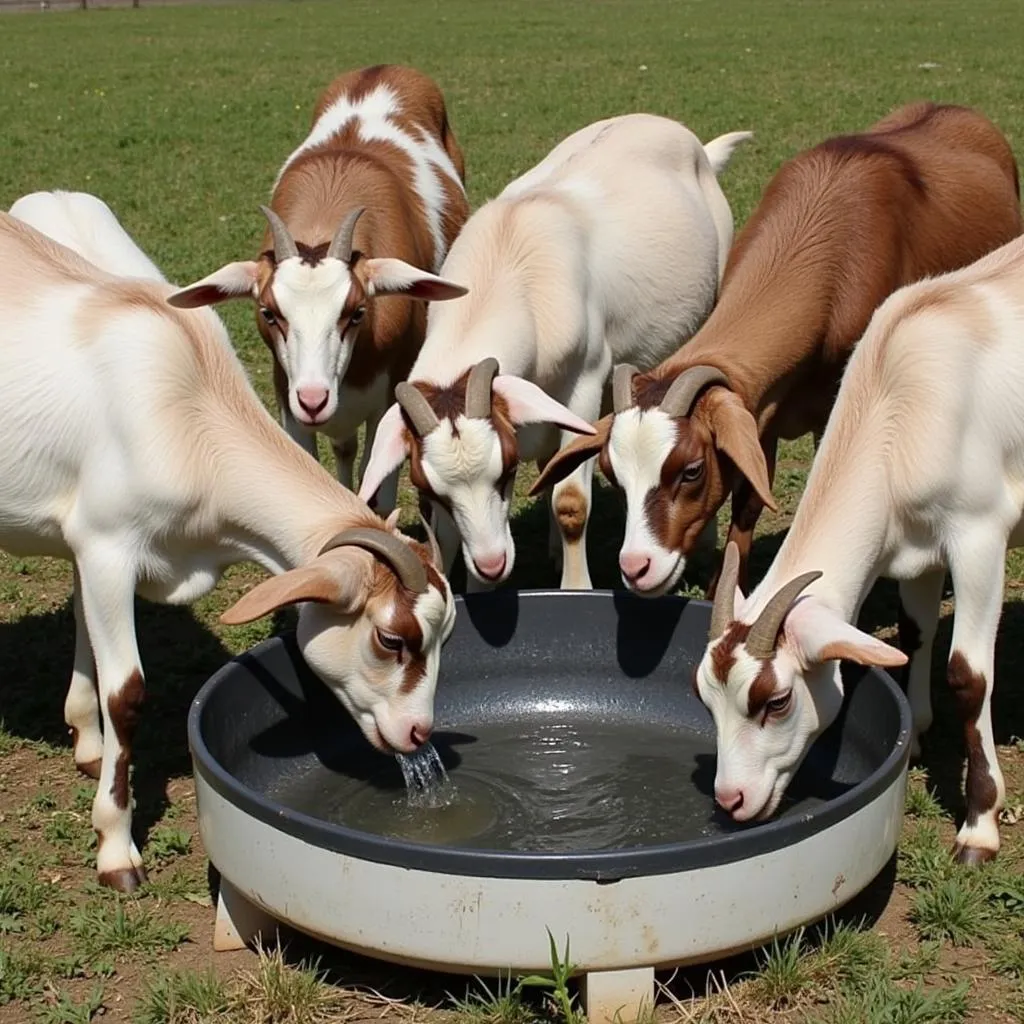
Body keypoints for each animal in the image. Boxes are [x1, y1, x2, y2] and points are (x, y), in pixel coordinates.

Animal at [0, 203, 456, 892]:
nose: (417, 732)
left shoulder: (88, 545)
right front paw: (116, 850)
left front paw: (87, 742)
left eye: (443, 634)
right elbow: (126, 691)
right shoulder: (107, 547)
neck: (185, 408)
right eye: (391, 637)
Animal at [360, 113, 753, 589]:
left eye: (507, 471)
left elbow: (570, 501)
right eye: (428, 487)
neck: (508, 258)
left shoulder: (583, 384)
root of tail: (697, 147)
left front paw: (575, 587)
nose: (492, 563)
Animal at [532, 99, 1019, 598]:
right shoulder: (760, 411)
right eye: (612, 472)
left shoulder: (837, 409)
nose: (637, 567)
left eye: (692, 470)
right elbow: (747, 502)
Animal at [696, 230, 1024, 864]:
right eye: (706, 697)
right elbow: (915, 634)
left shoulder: (978, 535)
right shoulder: (917, 549)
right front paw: (916, 733)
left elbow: (968, 674)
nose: (732, 800)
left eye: (776, 700)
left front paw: (978, 826)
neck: (901, 396)